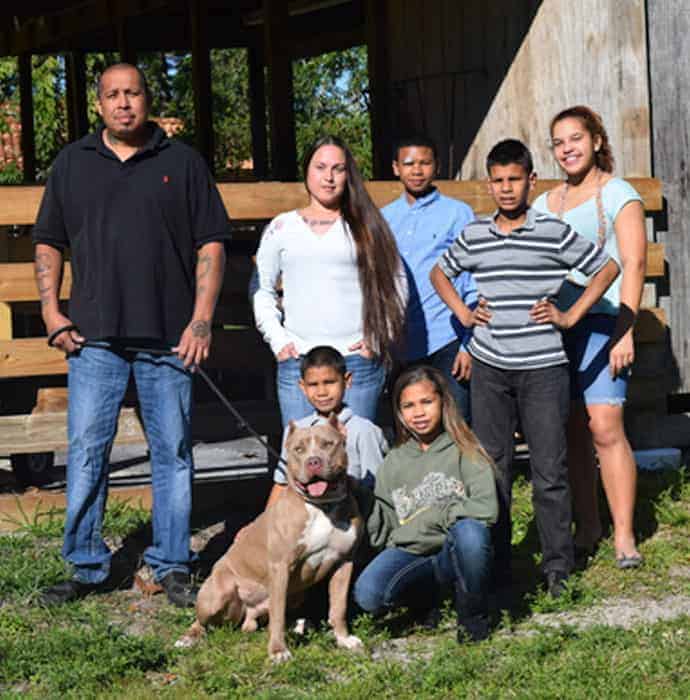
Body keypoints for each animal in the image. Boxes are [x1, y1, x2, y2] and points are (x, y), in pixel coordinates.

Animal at [175, 412, 362, 664]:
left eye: (327, 444)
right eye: (298, 449)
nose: (313, 461)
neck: (322, 506)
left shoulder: (344, 562)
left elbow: (339, 607)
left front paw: (344, 639)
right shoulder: (280, 567)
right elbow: (278, 615)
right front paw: (278, 651)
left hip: (293, 596)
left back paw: (297, 625)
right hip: (218, 593)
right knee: (201, 619)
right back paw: (188, 637)